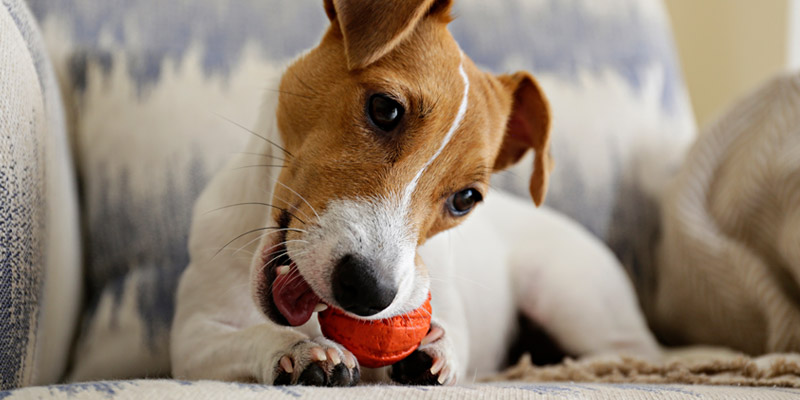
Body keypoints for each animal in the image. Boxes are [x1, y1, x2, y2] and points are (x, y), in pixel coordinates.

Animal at [172, 0, 660, 388]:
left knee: (629, 352)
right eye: (385, 109)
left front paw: (437, 350)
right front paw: (299, 350)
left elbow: (453, 338)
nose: (368, 292)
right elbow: (244, 336)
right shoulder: (191, 339)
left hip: (568, 297)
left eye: (465, 198)